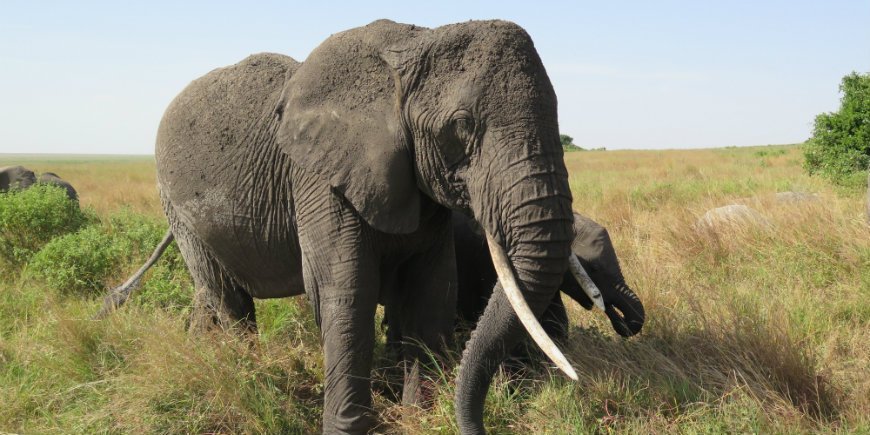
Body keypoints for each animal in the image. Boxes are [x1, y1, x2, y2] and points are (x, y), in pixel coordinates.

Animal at [107, 19, 584, 432]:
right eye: (462, 125)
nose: (480, 424)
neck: (415, 43)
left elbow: (432, 290)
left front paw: (418, 418)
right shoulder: (318, 177)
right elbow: (346, 290)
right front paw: (346, 428)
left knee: (210, 294)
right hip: (175, 203)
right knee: (228, 299)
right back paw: (246, 378)